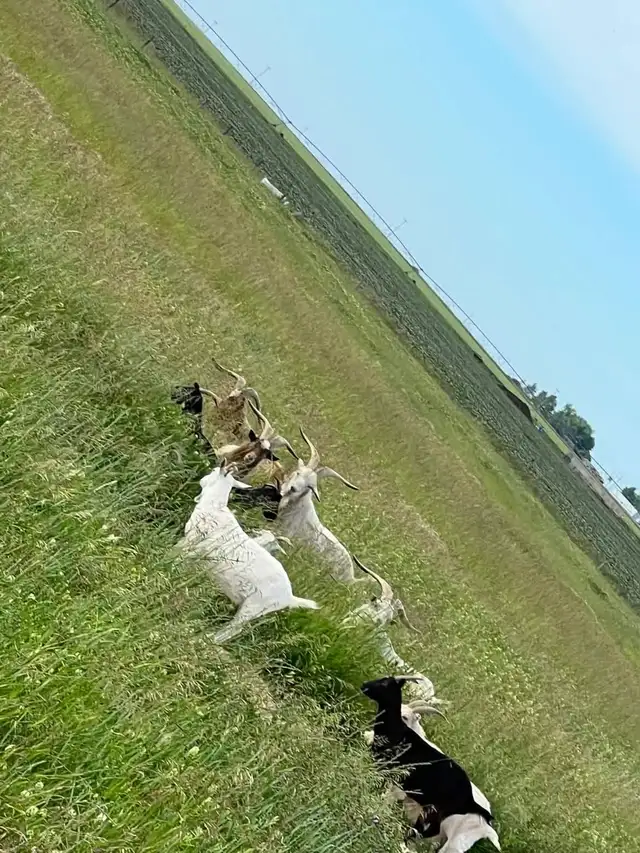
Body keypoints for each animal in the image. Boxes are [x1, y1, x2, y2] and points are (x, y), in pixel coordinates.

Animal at [177, 458, 319, 643]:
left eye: (214, 471)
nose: (202, 479)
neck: (215, 506)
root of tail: (289, 597)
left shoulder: (194, 546)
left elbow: (176, 559)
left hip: (253, 607)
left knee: (232, 630)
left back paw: (201, 640)